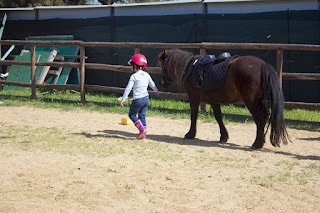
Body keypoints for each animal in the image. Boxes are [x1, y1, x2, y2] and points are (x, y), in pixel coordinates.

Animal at [158, 49, 290, 149]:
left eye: (162, 66)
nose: (161, 83)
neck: (191, 68)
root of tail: (262, 65)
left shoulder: (194, 98)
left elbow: (193, 116)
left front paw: (190, 134)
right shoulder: (214, 101)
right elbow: (219, 117)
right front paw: (224, 136)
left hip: (251, 102)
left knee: (260, 119)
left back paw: (257, 144)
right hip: (260, 101)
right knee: (264, 117)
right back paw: (260, 141)